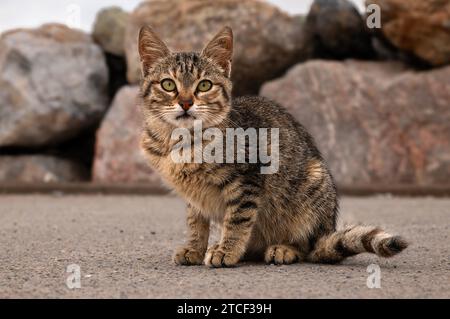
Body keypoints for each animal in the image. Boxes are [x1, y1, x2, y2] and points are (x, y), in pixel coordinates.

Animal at [137, 26, 408, 268]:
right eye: (168, 84)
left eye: (204, 85)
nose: (185, 102)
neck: (180, 140)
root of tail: (327, 230)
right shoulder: (194, 197)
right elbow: (196, 223)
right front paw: (195, 248)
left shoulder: (247, 179)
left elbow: (238, 220)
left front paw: (227, 250)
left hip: (312, 188)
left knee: (308, 247)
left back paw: (283, 249)